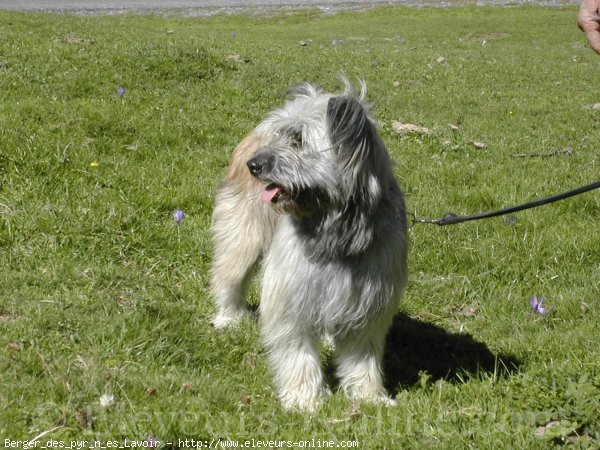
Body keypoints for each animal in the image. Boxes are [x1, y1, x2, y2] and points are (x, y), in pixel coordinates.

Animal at [211, 81, 408, 412]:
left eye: (298, 140)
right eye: (284, 135)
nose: (255, 165)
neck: (336, 231)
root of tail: (255, 135)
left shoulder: (367, 304)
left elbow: (362, 357)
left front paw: (368, 396)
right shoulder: (292, 296)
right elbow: (297, 353)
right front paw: (304, 401)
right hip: (243, 239)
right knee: (229, 276)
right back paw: (229, 317)